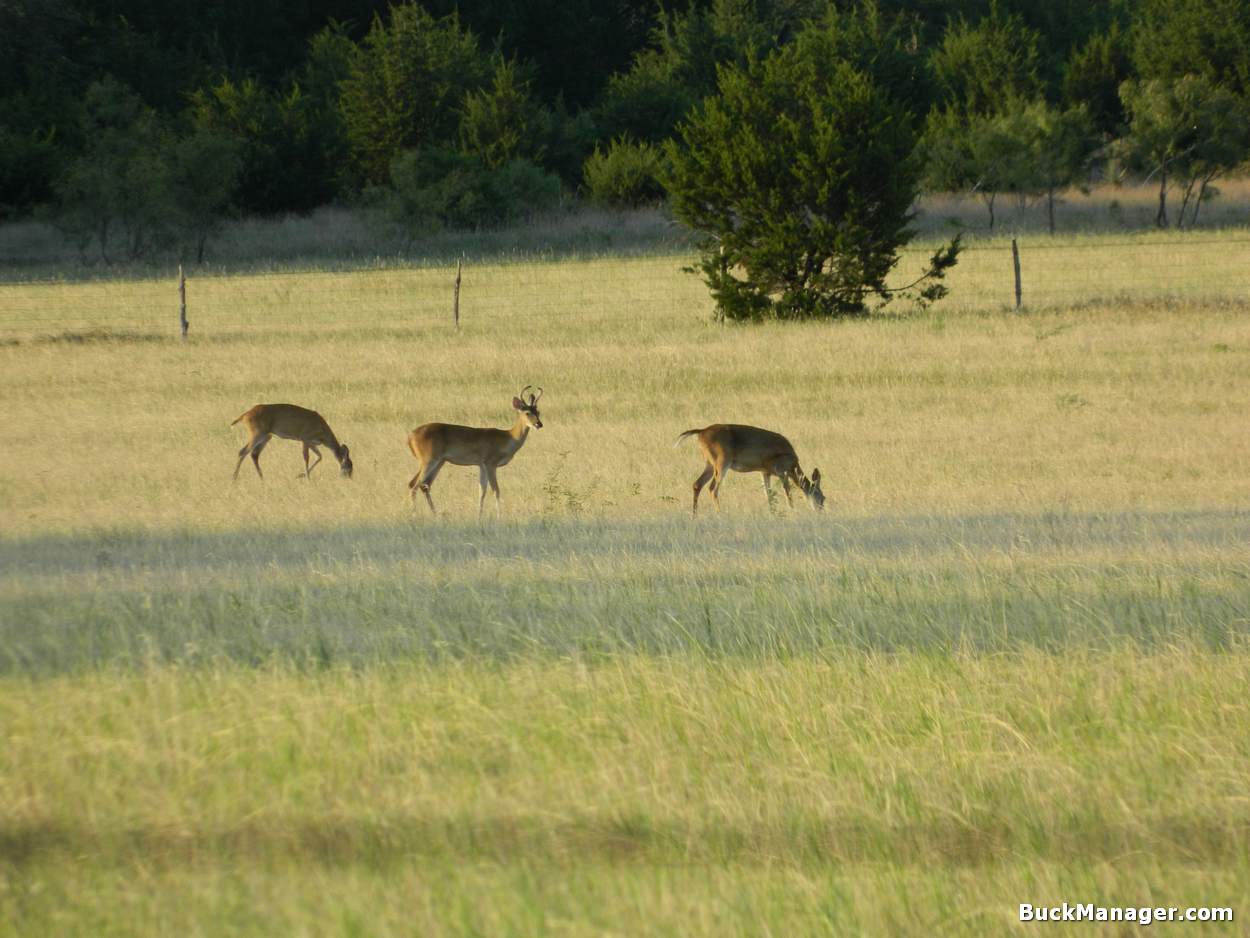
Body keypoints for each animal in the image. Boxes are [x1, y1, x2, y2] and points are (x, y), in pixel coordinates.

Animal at [407, 390, 545, 522]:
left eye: (538, 411)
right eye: (527, 412)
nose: (539, 424)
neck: (508, 437)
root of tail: (410, 436)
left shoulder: (481, 465)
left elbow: (482, 491)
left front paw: (479, 516)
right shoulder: (490, 463)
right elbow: (496, 490)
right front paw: (499, 516)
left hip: (439, 462)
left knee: (424, 485)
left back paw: (435, 514)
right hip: (429, 460)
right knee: (414, 485)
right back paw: (415, 515)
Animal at [680, 425, 825, 515]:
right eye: (822, 497)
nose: (820, 511)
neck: (793, 465)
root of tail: (701, 431)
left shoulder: (765, 472)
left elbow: (768, 494)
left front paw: (772, 513)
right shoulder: (782, 471)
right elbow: (787, 493)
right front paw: (792, 511)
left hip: (709, 463)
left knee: (697, 484)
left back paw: (694, 515)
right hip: (721, 462)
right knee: (712, 488)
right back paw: (720, 513)